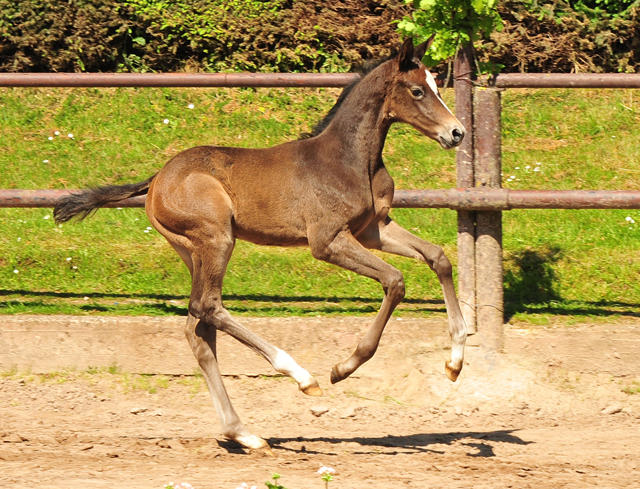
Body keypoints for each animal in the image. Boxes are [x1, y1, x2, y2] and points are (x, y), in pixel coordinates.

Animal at [56, 38, 464, 450]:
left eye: (436, 84)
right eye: (417, 90)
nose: (457, 133)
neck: (350, 160)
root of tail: (155, 179)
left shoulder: (373, 230)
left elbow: (438, 257)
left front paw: (455, 363)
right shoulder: (328, 241)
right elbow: (395, 281)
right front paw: (343, 368)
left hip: (193, 252)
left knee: (198, 329)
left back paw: (243, 433)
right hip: (217, 238)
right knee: (208, 306)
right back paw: (301, 377)